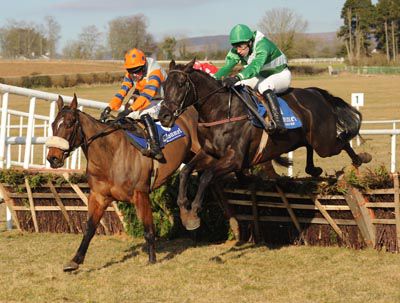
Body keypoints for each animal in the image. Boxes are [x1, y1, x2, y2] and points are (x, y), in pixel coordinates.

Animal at [46, 94, 200, 270]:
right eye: (53, 124)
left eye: (70, 123)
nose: (53, 158)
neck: (111, 156)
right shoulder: (99, 196)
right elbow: (90, 228)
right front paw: (75, 260)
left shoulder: (141, 194)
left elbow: (148, 229)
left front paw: (152, 259)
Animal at [157, 59, 372, 230]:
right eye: (164, 85)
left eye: (182, 84)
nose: (164, 116)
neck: (221, 111)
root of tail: (315, 92)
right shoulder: (209, 153)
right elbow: (186, 171)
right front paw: (184, 207)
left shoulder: (234, 159)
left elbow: (206, 176)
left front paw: (193, 212)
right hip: (310, 138)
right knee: (311, 146)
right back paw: (313, 168)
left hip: (324, 143)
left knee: (343, 141)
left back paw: (361, 158)